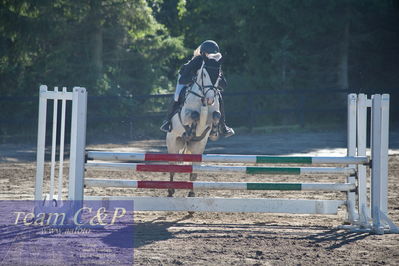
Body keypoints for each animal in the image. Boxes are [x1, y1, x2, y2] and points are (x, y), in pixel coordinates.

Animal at [165, 60, 222, 197]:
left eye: (219, 76)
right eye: (204, 75)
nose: (210, 99)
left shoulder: (210, 117)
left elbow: (216, 114)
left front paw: (214, 132)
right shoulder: (185, 116)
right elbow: (194, 115)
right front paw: (191, 130)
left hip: (197, 148)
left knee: (194, 173)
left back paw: (191, 193)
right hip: (173, 143)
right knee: (172, 167)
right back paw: (170, 190)